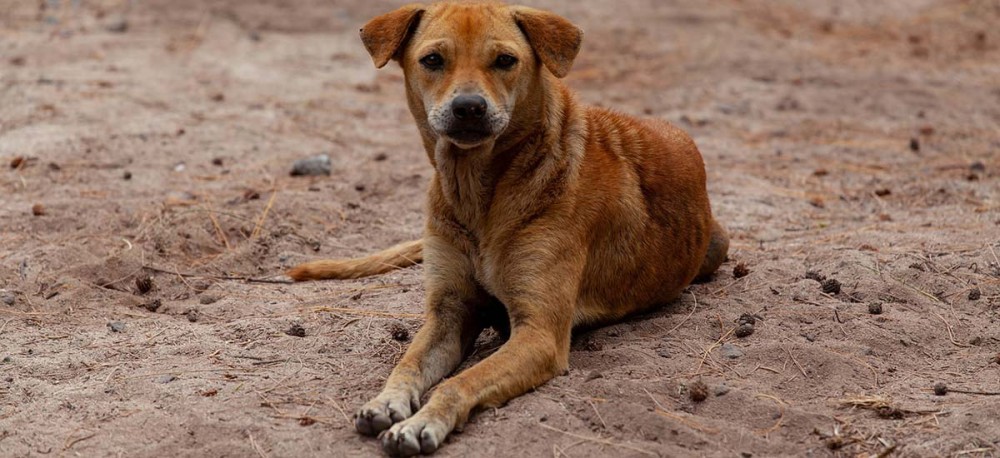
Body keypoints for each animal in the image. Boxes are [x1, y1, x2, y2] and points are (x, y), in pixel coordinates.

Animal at [290, 2, 728, 454]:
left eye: (504, 60)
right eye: (433, 60)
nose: (469, 107)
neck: (477, 193)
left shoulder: (539, 335)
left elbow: (459, 382)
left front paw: (422, 422)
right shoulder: (449, 313)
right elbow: (407, 363)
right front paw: (386, 401)